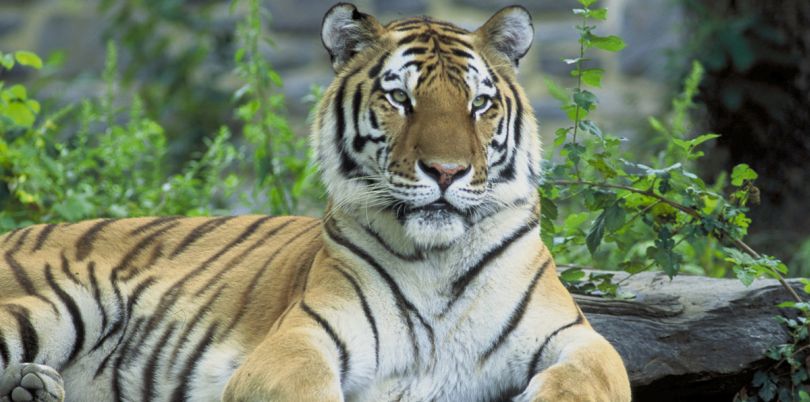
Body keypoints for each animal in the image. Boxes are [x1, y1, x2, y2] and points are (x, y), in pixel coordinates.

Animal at [0, 3, 632, 402]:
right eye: (400, 98)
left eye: (479, 103)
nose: (447, 171)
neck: (437, 259)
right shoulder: (299, 340)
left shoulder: (577, 337)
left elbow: (591, 377)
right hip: (63, 303)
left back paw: (34, 387)